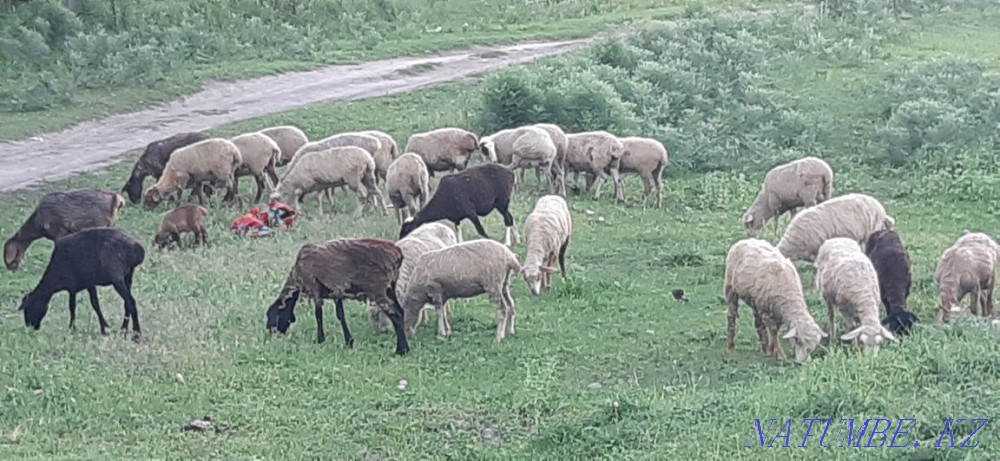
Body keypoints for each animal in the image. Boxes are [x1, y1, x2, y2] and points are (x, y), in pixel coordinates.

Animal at [265, 238, 410, 355]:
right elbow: (341, 315)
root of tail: (397, 253)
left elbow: (318, 314)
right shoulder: (337, 291)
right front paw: (349, 341)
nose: (272, 334)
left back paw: (402, 350)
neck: (297, 276)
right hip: (390, 287)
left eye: (275, 315)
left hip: (377, 288)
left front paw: (320, 340)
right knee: (401, 311)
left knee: (395, 314)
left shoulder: (314, 287)